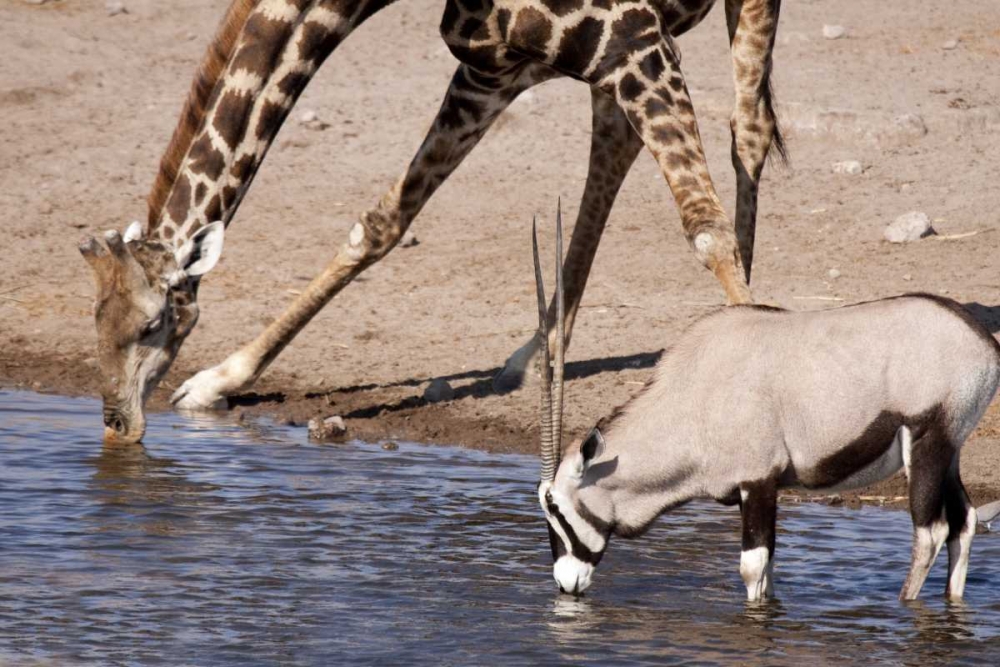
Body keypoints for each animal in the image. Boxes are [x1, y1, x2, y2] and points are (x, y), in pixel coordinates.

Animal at [80, 0, 783, 444]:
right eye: (95, 323)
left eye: (152, 325)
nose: (117, 425)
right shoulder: (490, 72)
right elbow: (383, 222)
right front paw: (219, 379)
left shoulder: (633, 41)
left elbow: (705, 229)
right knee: (621, 140)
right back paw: (536, 354)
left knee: (747, 130)